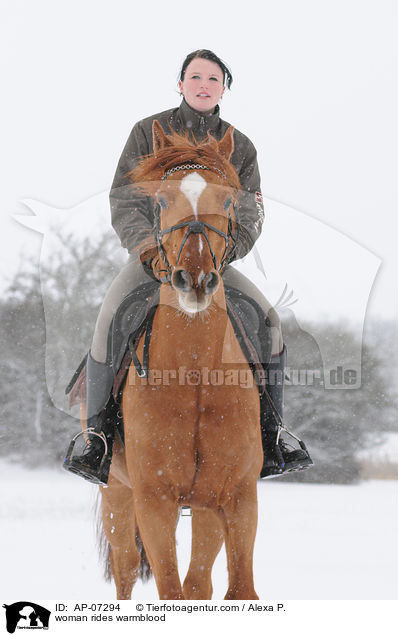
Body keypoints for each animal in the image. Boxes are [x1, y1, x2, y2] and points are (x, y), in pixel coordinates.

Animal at [98, 120, 262, 600]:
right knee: (126, 572)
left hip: (205, 507)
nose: (195, 280)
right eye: (161, 200)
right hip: (117, 495)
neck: (194, 373)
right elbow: (168, 589)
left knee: (198, 583)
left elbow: (239, 590)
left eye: (227, 200)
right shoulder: (154, 500)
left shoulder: (238, 497)